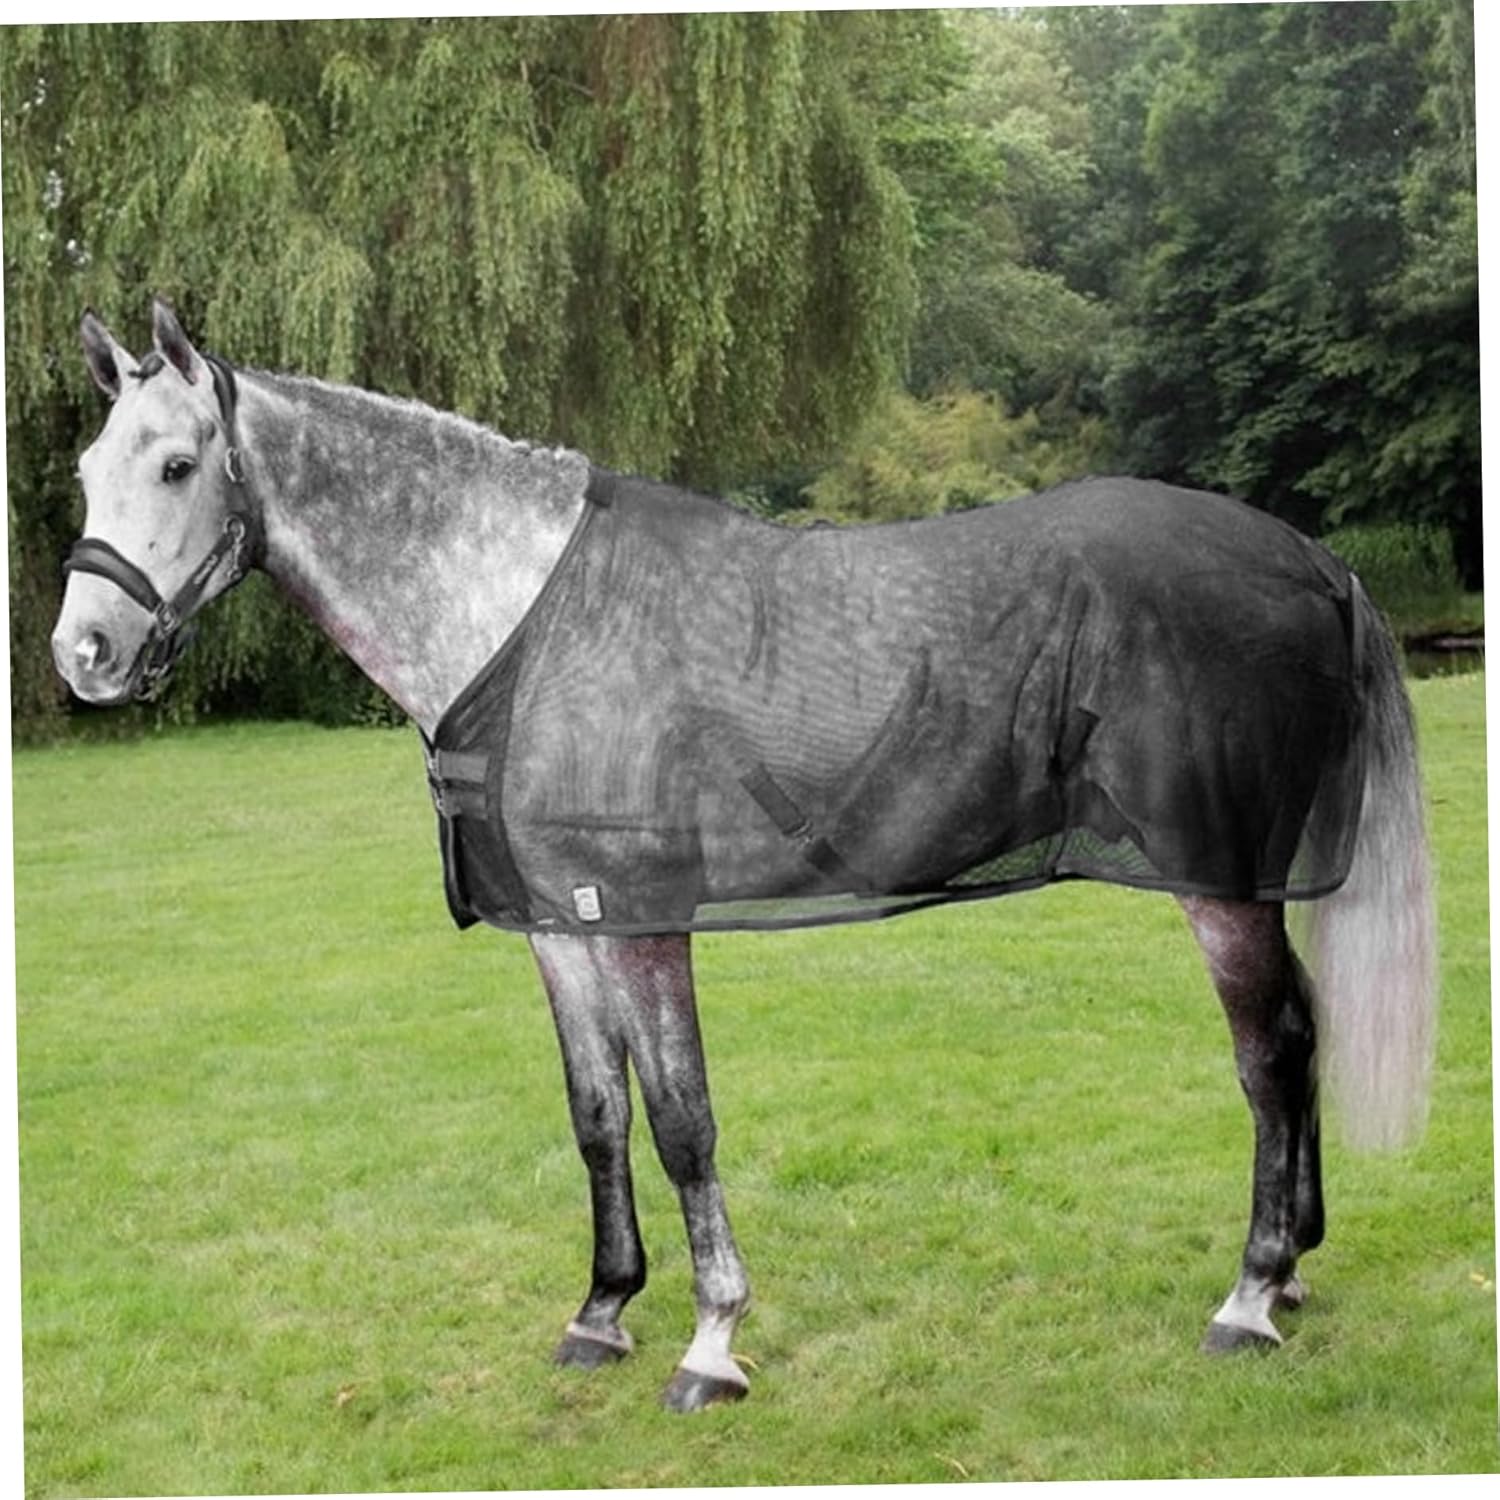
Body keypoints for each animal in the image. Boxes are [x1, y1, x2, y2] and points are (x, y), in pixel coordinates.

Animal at [51, 299, 1437, 1413]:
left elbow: (681, 1120)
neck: (527, 620)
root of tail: (1314, 560)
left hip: (1219, 882)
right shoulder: (564, 924)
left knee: (1270, 1057)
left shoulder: (642, 916)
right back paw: (1293, 1275)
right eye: (85, 467)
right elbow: (598, 1116)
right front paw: (601, 1313)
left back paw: (1250, 1296)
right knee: (1300, 1036)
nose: (84, 656)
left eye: (177, 464)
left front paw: (712, 1342)